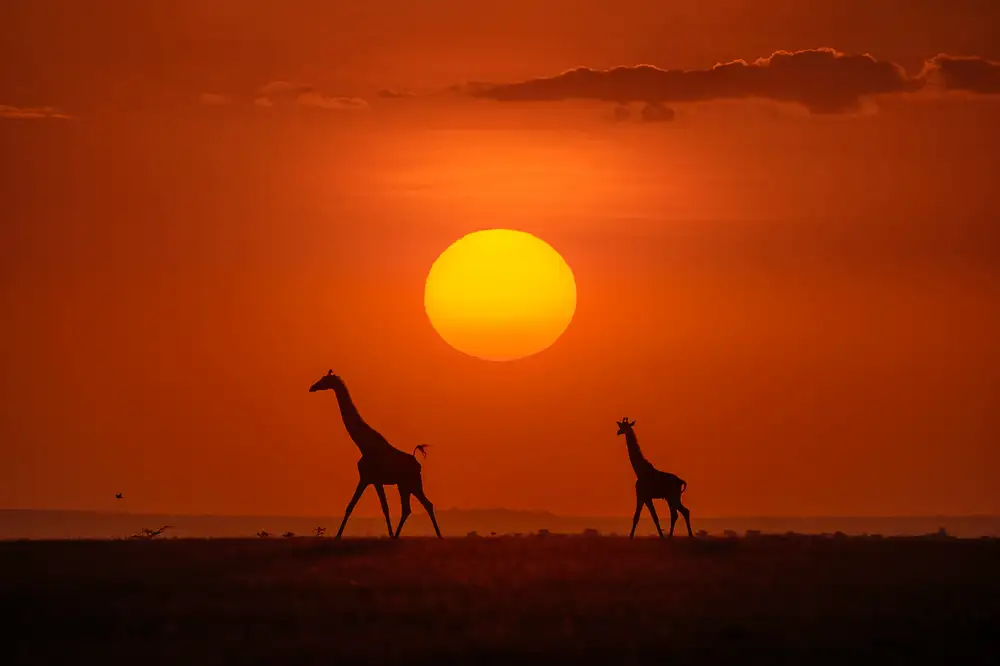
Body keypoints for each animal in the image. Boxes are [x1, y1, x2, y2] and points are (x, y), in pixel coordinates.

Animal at [309, 370, 443, 539]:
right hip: (403, 485)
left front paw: (338, 535)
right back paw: (399, 536)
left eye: (325, 380)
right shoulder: (367, 479)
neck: (364, 445)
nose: (312, 387)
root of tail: (417, 463)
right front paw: (338, 535)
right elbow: (351, 506)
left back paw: (437, 536)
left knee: (425, 505)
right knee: (409, 508)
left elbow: (383, 508)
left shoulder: (373, 479)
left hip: (413, 483)